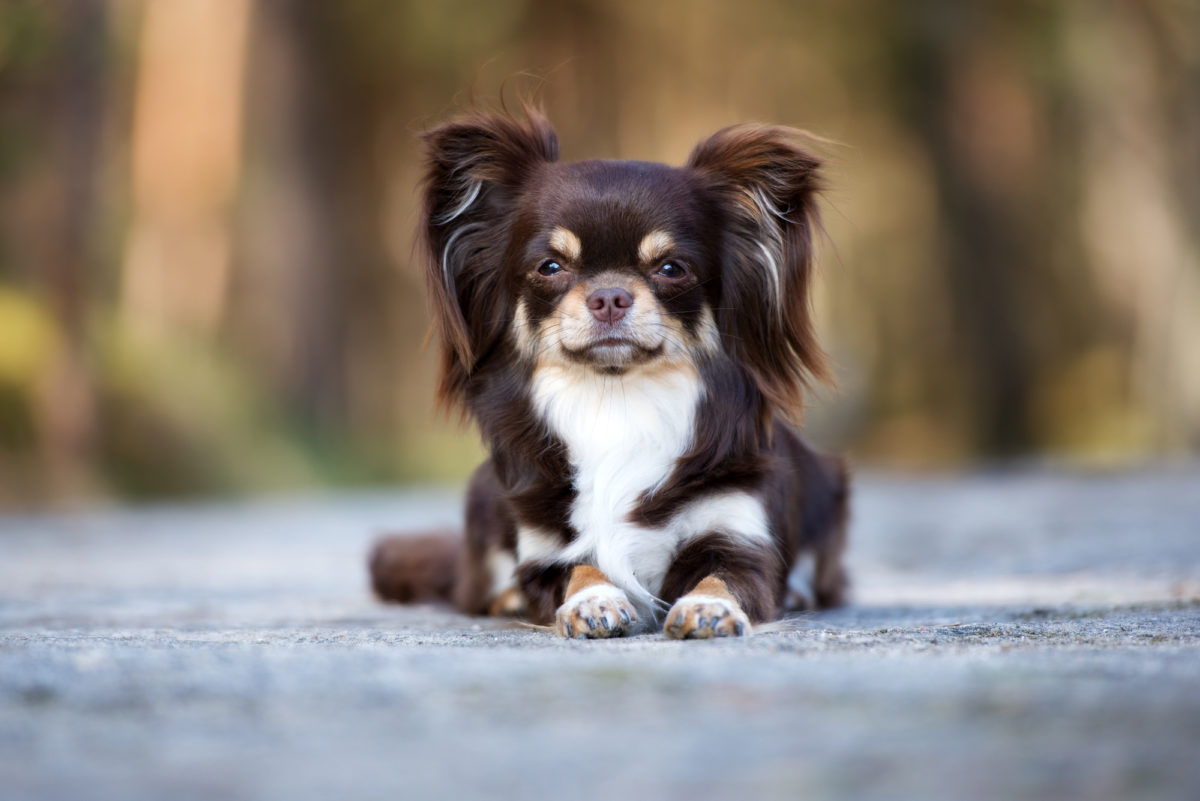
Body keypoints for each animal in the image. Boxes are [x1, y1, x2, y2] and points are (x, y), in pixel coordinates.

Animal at [369, 109, 849, 642]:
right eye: (550, 266)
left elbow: (723, 577)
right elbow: (577, 568)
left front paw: (707, 607)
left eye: (672, 269)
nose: (609, 296)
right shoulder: (546, 550)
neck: (616, 399)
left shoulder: (737, 533)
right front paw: (592, 601)